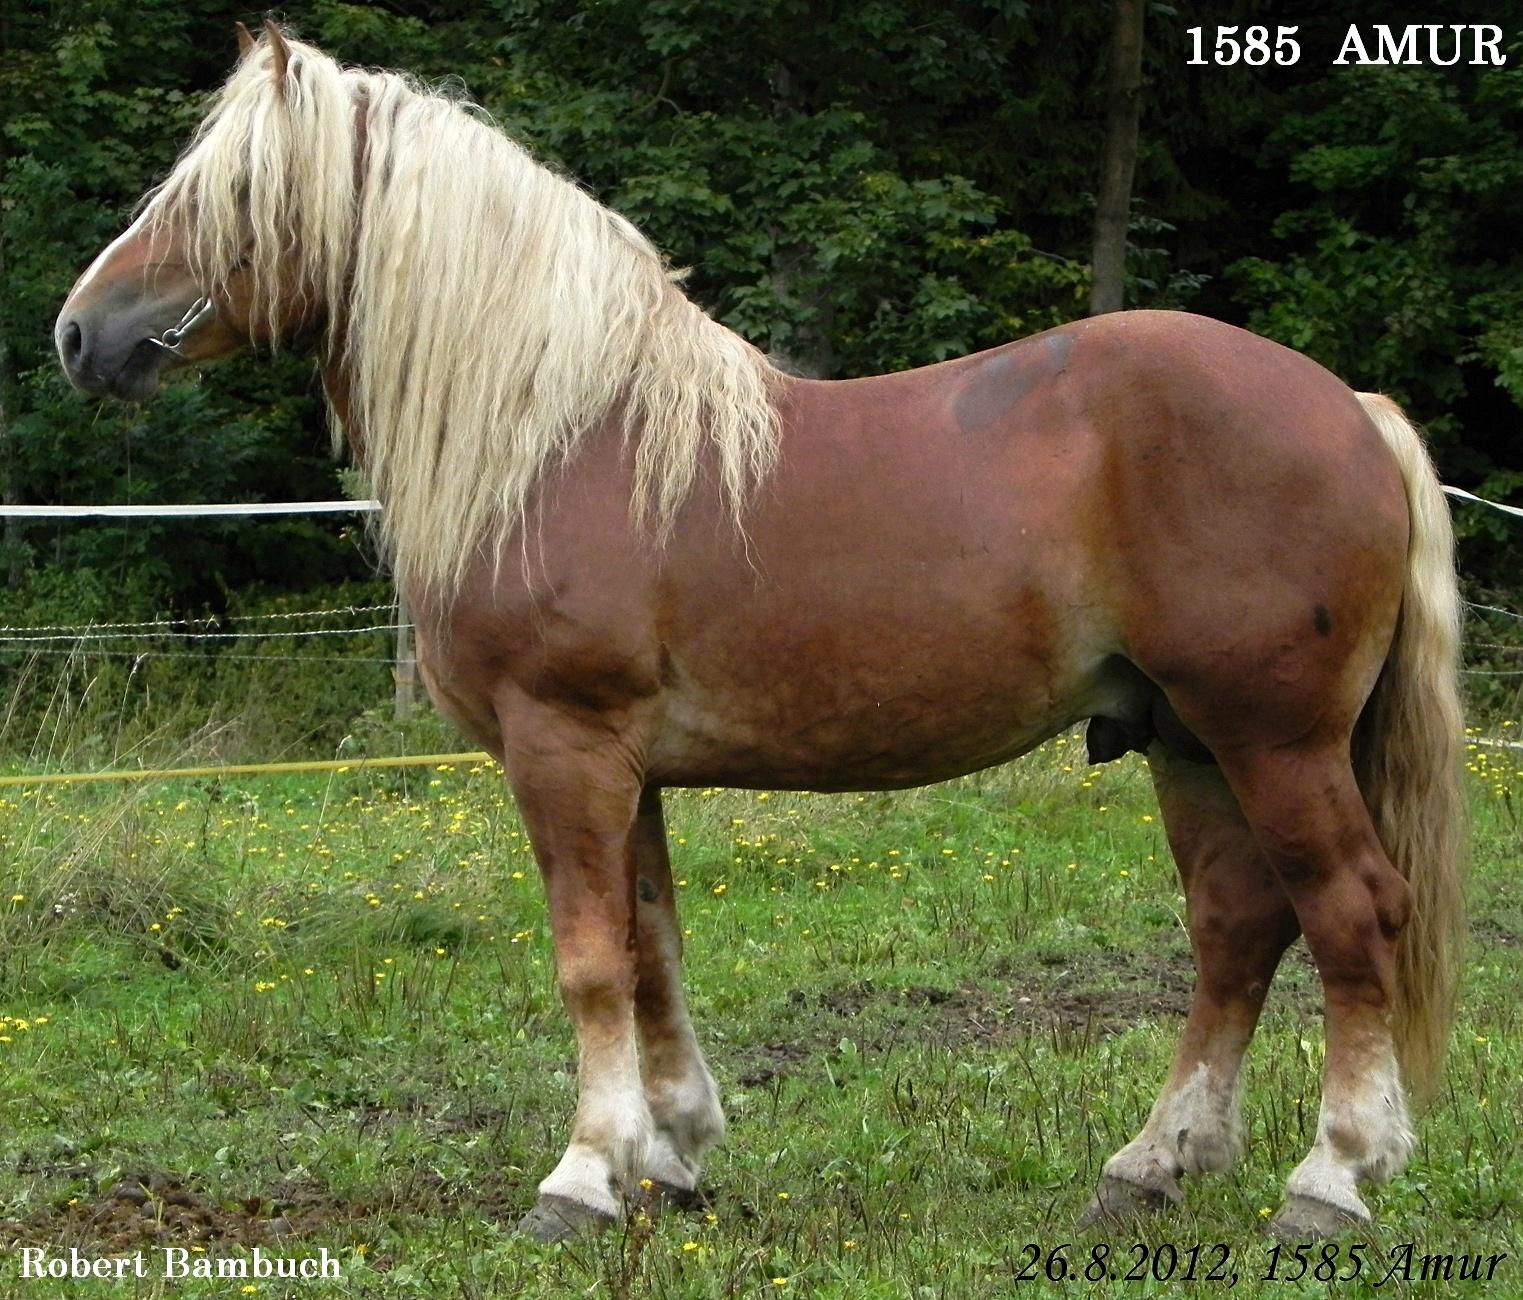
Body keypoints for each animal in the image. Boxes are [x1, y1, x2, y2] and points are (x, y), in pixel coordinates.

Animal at [56, 20, 1462, 1242]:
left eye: (227, 193)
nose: (81, 335)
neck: (565, 442)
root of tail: (1349, 405)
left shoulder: (562, 747)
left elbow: (589, 963)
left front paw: (580, 1177)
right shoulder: (628, 770)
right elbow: (652, 952)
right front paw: (670, 1155)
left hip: (1272, 737)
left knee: (1350, 914)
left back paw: (1328, 1182)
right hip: (1185, 738)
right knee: (1235, 926)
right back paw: (1150, 1164)